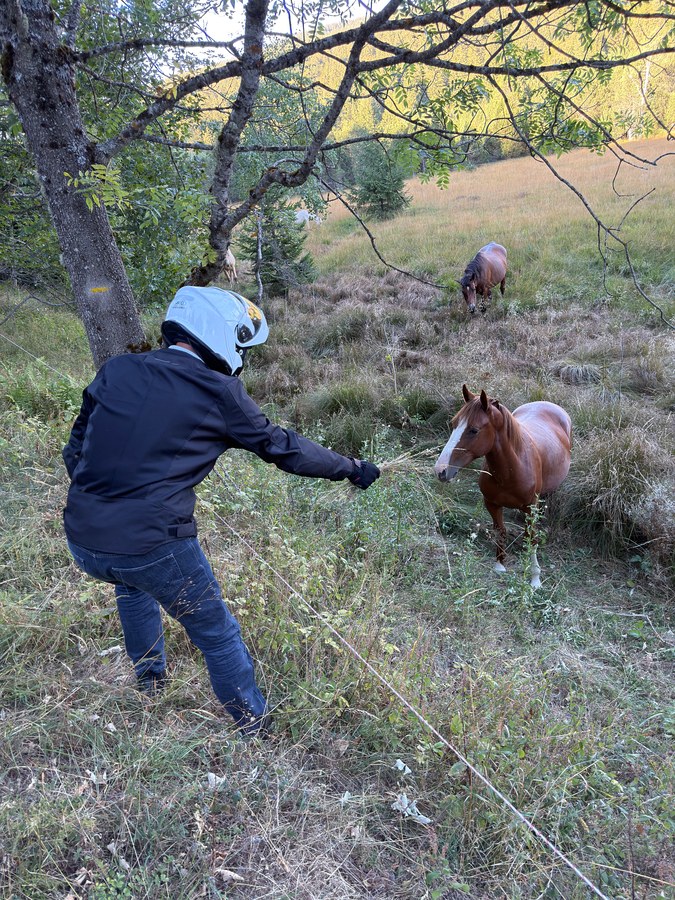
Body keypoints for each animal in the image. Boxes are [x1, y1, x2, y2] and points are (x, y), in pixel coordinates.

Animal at [435, 385, 572, 588]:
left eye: (473, 430)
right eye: (453, 423)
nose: (441, 470)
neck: (512, 468)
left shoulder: (530, 507)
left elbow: (531, 537)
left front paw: (535, 579)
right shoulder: (492, 503)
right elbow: (500, 531)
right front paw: (499, 565)